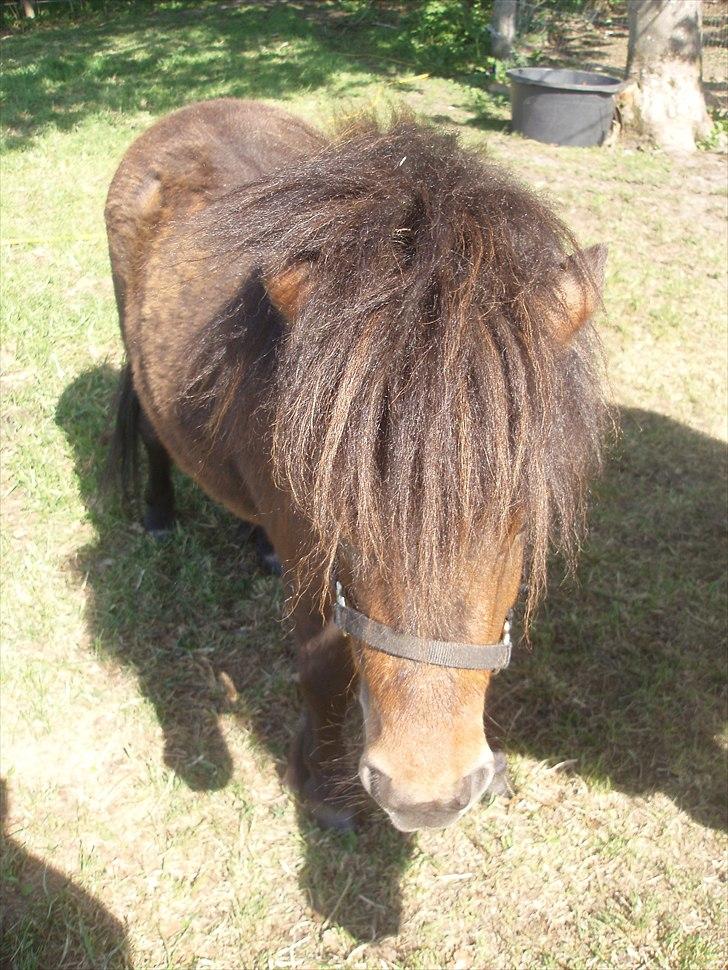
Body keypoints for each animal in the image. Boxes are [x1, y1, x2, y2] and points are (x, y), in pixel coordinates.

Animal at [105, 98, 604, 832]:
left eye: (520, 515)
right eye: (340, 507)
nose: (428, 796)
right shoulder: (315, 568)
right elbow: (323, 666)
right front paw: (319, 785)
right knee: (149, 426)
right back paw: (159, 514)